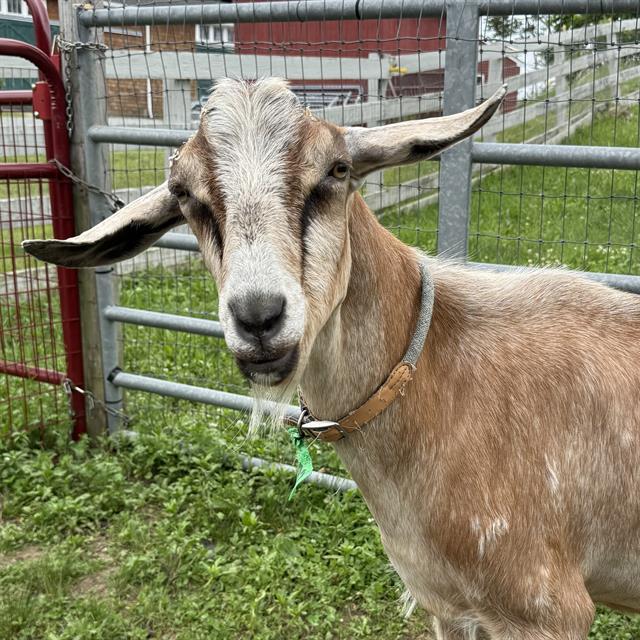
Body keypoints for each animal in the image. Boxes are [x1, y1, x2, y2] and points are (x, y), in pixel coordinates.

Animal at [24, 78, 640, 639]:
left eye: (337, 171)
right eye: (185, 195)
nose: (259, 316)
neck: (437, 375)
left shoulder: (543, 608)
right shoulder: (450, 606)